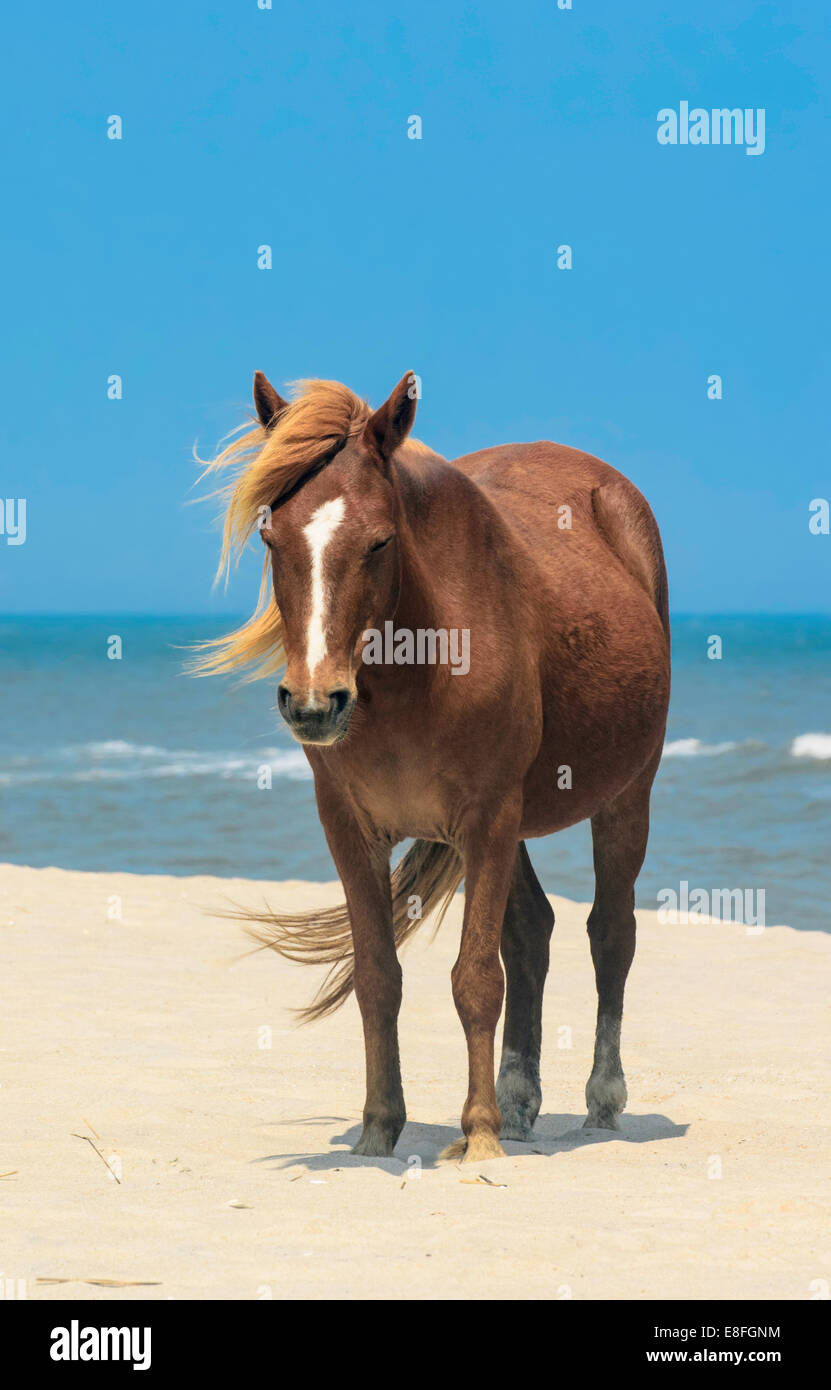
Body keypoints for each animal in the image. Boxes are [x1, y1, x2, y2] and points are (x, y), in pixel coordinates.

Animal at [195, 369, 669, 1162]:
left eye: (380, 541)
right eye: (269, 534)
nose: (315, 703)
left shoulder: (488, 819)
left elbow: (475, 978)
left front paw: (475, 1136)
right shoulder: (351, 828)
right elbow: (378, 978)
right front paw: (378, 1127)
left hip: (624, 796)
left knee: (611, 933)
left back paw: (598, 1101)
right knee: (532, 934)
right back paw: (517, 1100)